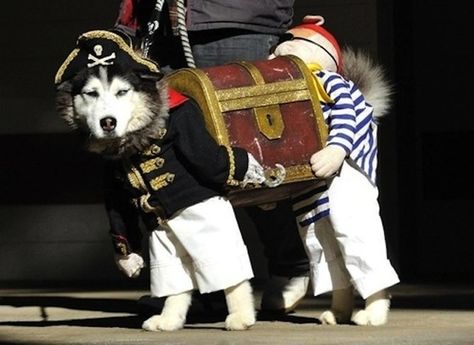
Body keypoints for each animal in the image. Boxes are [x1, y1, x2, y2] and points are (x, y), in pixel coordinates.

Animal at [54, 30, 266, 330]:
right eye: (91, 93)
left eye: (122, 92)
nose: (108, 122)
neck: (134, 140)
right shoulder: (113, 180)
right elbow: (119, 210)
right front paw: (127, 259)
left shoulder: (189, 128)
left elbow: (211, 160)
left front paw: (250, 168)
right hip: (165, 242)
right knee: (176, 279)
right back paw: (168, 320)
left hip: (209, 228)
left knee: (226, 268)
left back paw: (241, 316)